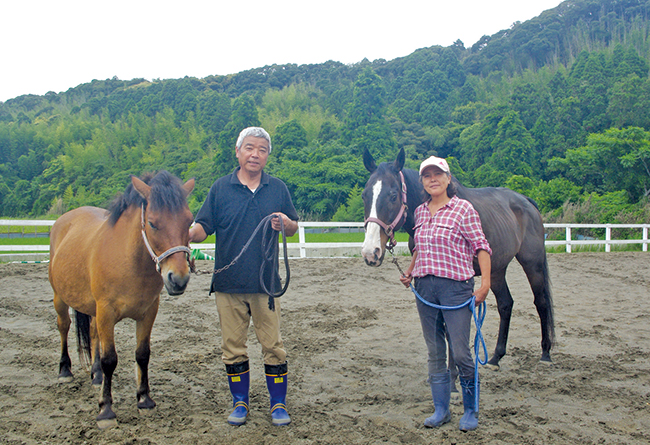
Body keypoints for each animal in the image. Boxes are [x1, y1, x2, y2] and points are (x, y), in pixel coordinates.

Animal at [47, 170, 194, 426]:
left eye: (189, 221)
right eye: (152, 223)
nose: (178, 279)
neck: (130, 260)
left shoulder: (148, 313)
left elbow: (142, 354)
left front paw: (144, 399)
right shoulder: (106, 312)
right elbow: (110, 359)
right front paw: (105, 409)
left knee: (93, 333)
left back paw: (96, 375)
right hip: (60, 298)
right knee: (64, 326)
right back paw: (65, 370)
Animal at [360, 149, 552, 368]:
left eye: (393, 195)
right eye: (365, 195)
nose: (370, 252)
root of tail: (525, 201)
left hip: (533, 264)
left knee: (541, 302)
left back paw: (545, 353)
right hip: (496, 269)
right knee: (506, 304)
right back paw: (496, 357)